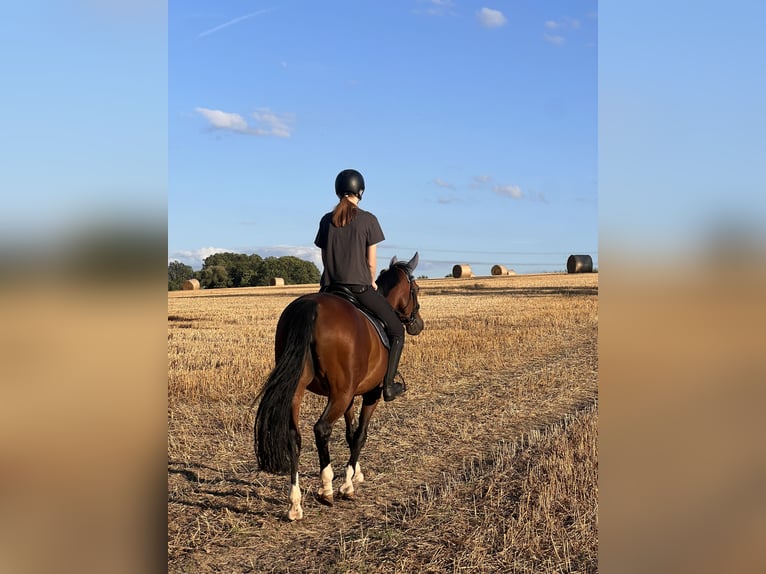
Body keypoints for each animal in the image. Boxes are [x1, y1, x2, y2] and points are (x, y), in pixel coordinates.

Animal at [256, 252, 426, 520]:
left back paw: (295, 504)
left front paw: (356, 472)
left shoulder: (351, 395)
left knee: (294, 436)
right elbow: (360, 435)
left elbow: (349, 432)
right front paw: (348, 484)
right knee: (321, 429)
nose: (418, 324)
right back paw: (326, 489)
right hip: (340, 394)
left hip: (298, 390)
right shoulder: (369, 394)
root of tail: (310, 307)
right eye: (416, 289)